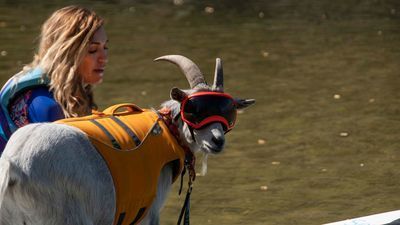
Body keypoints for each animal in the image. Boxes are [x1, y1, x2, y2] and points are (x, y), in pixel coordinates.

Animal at [0, 55, 255, 225]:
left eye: (228, 111)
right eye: (193, 109)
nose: (217, 141)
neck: (167, 129)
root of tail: (14, 165)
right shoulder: (149, 211)